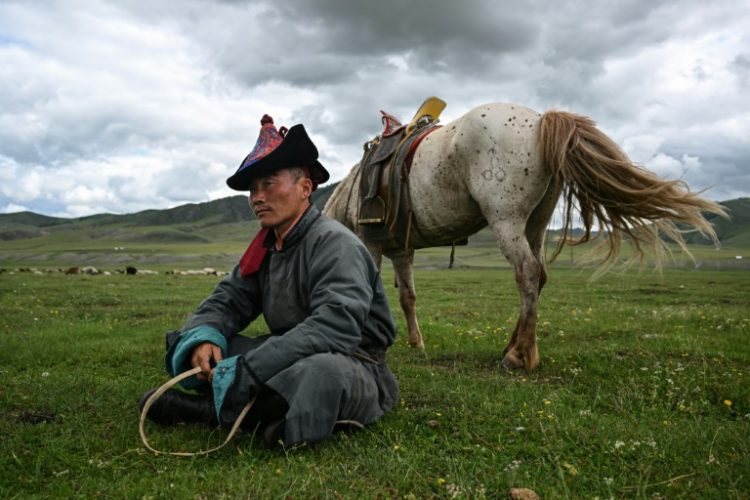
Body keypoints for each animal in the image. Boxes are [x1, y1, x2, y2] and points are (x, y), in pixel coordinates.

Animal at [324, 101, 728, 370]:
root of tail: (540, 120)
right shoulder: (402, 252)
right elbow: (408, 297)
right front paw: (416, 343)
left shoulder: (371, 243)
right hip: (534, 223)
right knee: (539, 275)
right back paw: (510, 346)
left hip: (506, 220)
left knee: (528, 273)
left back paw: (520, 355)